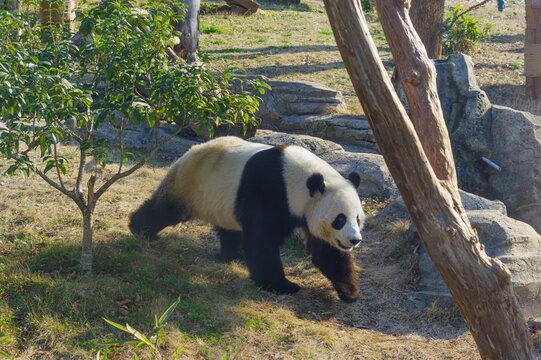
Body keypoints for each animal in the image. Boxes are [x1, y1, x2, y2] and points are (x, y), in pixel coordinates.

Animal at [130, 136, 364, 302]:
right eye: (340, 219)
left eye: (357, 219)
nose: (354, 240)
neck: (300, 179)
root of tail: (188, 152)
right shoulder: (270, 189)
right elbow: (262, 240)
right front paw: (282, 285)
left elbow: (327, 250)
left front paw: (349, 291)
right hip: (191, 183)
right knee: (166, 210)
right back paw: (139, 229)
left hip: (222, 200)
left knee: (230, 229)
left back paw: (234, 255)